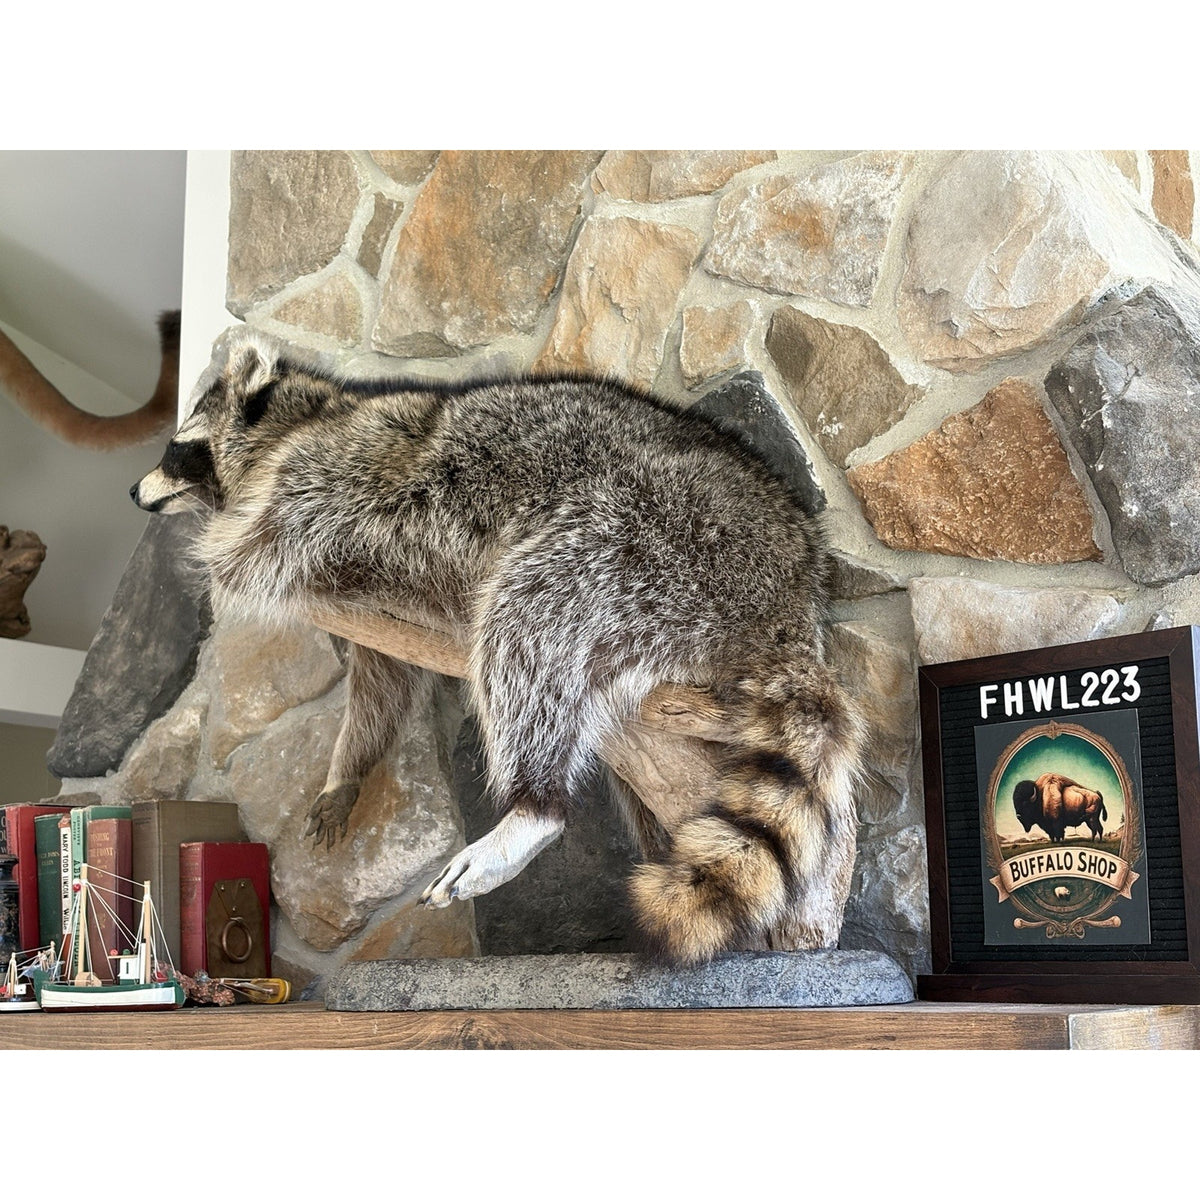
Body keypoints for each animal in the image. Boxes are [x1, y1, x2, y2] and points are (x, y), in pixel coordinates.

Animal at [132, 334, 865, 965]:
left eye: (175, 449)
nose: (134, 493)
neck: (302, 417)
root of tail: (791, 588)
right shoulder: (367, 602)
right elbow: (381, 680)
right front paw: (349, 768)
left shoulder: (339, 463)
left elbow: (263, 542)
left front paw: (220, 552)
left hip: (661, 534)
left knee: (531, 609)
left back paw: (533, 808)